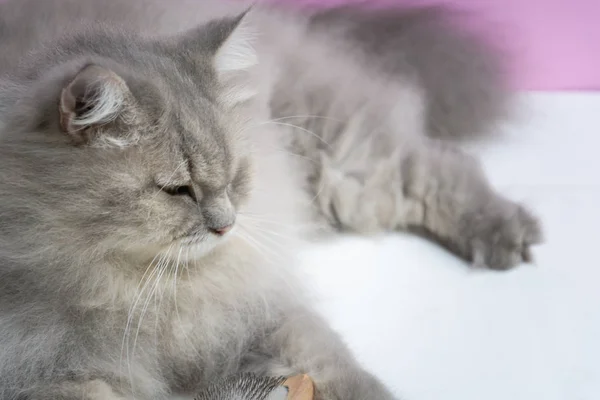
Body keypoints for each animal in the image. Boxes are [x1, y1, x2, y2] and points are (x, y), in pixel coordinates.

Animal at [0, 0, 540, 400]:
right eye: (178, 190)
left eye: (235, 177)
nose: (226, 224)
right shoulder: (49, 371)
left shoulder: (256, 305)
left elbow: (331, 362)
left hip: (342, 160)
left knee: (435, 164)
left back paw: (504, 233)